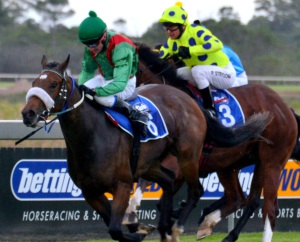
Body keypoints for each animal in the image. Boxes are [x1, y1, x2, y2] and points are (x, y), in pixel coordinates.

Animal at [19, 55, 268, 242]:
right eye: (33, 84)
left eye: (53, 84)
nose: (28, 114)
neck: (91, 137)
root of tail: (191, 102)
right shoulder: (90, 192)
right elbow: (113, 224)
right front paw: (140, 228)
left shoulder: (122, 183)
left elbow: (115, 228)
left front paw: (139, 230)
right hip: (154, 164)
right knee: (171, 182)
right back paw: (168, 225)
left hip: (189, 156)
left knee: (199, 190)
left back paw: (180, 226)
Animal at [132, 43, 300, 242]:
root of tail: (285, 107)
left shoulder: (178, 165)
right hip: (237, 164)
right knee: (243, 199)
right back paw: (213, 225)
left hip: (272, 162)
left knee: (268, 209)